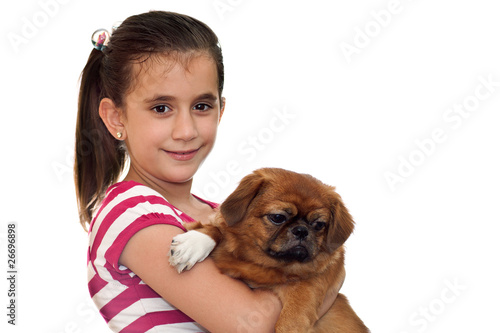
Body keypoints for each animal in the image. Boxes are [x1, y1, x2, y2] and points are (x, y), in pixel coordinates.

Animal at [170, 169, 370, 332]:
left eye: (319, 225)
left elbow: (294, 315)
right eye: (278, 217)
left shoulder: (312, 282)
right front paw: (193, 243)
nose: (301, 230)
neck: (263, 264)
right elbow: (216, 229)